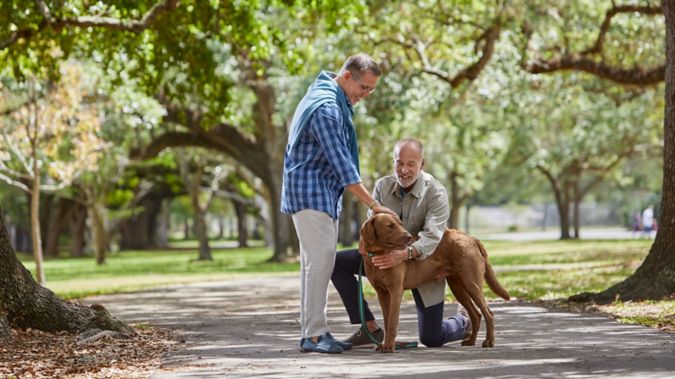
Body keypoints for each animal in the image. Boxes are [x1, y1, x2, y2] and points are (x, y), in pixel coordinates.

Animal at [362, 214, 510, 354]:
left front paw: (389, 346)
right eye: (389, 226)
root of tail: (471, 238)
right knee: (476, 314)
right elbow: (387, 321)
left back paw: (489, 341)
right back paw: (471, 340)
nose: (409, 237)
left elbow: (392, 322)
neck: (378, 253)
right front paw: (384, 344)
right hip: (457, 287)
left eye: (400, 224)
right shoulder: (381, 293)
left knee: (488, 313)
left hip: (471, 283)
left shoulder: (396, 291)